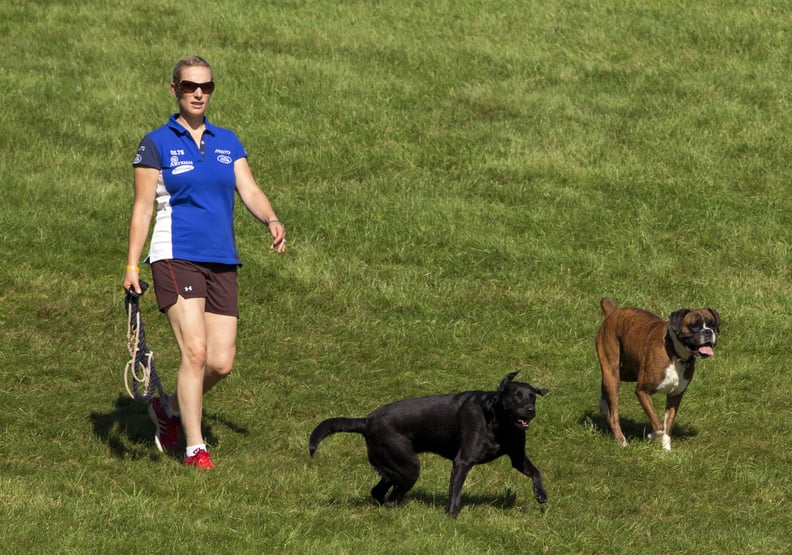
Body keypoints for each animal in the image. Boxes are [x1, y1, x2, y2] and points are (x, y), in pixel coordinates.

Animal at [310, 372, 552, 520]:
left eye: (533, 397)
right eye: (516, 396)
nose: (530, 410)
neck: (499, 422)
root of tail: (366, 421)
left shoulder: (517, 458)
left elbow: (536, 472)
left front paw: (540, 495)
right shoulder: (462, 462)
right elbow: (455, 493)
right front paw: (451, 517)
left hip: (394, 468)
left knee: (379, 491)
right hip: (408, 468)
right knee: (390, 497)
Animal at [592, 298, 716, 450]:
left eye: (712, 324)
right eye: (693, 325)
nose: (708, 332)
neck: (675, 354)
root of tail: (613, 312)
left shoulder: (675, 397)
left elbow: (668, 425)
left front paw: (666, 449)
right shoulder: (642, 391)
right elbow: (658, 424)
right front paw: (652, 436)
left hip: (626, 372)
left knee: (605, 383)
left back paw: (603, 405)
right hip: (613, 371)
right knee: (613, 414)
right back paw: (622, 441)